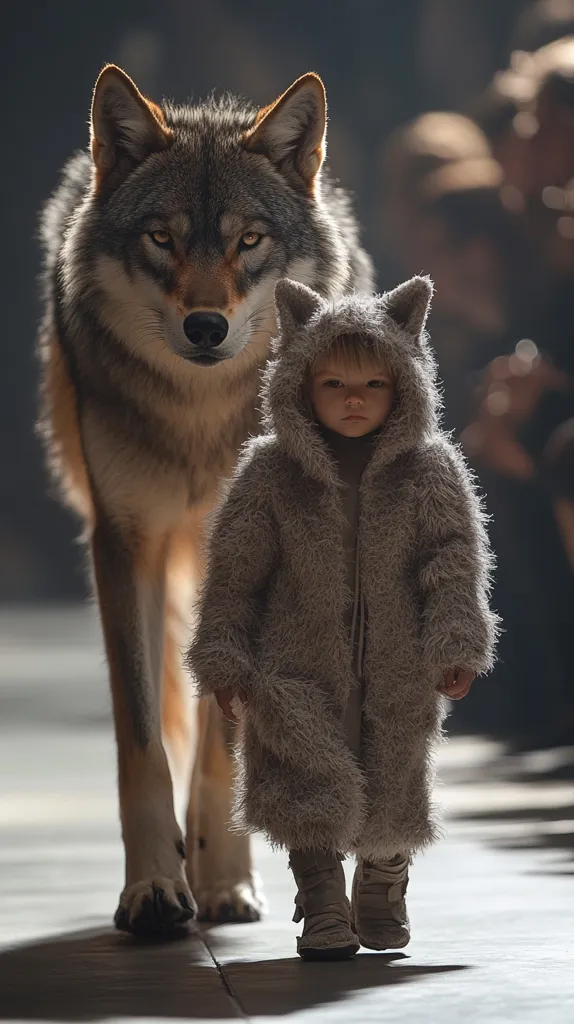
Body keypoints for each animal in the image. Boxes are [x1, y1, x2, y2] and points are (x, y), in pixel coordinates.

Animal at [37, 62, 374, 935]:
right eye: (162, 237)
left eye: (247, 240)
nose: (205, 327)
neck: (198, 417)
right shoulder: (122, 543)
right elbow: (143, 737)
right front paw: (155, 887)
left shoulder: (252, 547)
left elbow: (225, 734)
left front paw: (223, 877)